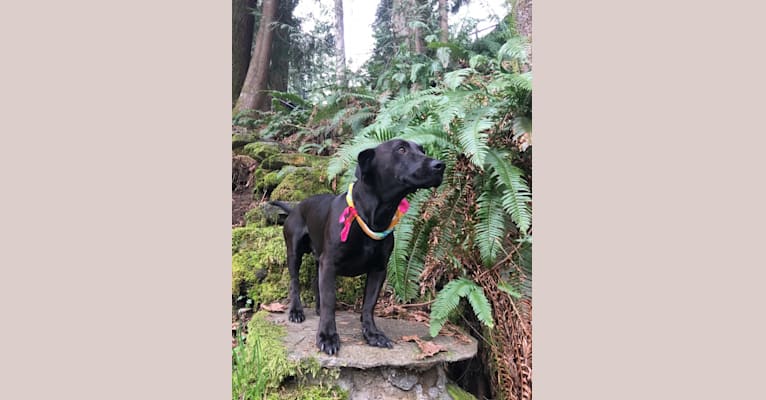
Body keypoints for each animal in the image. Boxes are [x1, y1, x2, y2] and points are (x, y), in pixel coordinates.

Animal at [272, 139, 448, 354]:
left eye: (422, 150)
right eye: (401, 149)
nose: (440, 165)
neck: (372, 215)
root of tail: (295, 207)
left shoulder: (378, 269)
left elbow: (368, 305)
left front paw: (372, 334)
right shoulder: (329, 265)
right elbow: (330, 302)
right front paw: (327, 337)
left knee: (315, 282)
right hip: (294, 252)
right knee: (294, 282)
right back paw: (296, 311)